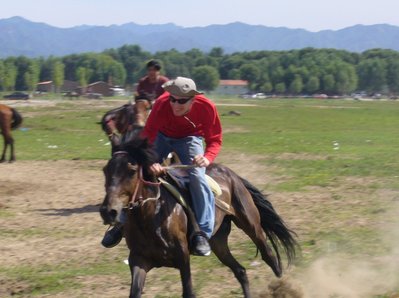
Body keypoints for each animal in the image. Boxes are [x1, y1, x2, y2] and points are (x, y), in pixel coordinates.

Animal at [100, 137, 296, 298]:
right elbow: (135, 292)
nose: (109, 211)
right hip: (218, 241)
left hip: (251, 225)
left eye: (132, 170)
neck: (150, 217)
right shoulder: (139, 261)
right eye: (106, 169)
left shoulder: (183, 259)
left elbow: (188, 292)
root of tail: (231, 174)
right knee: (240, 271)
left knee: (269, 256)